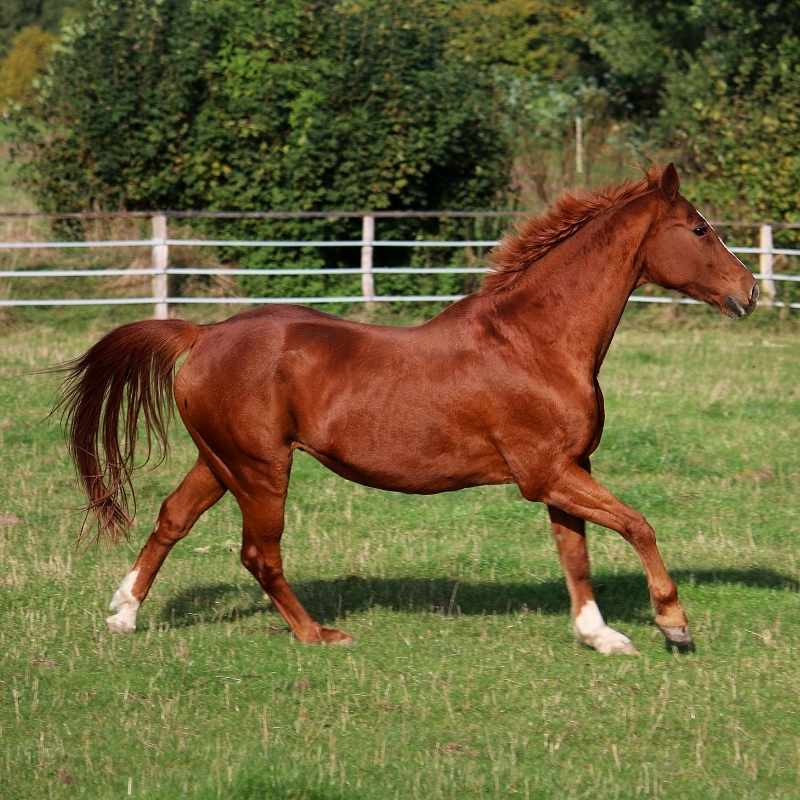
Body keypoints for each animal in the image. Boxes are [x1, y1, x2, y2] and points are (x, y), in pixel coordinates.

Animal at [57, 163, 758, 655]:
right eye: (699, 228)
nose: (750, 291)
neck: (535, 343)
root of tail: (202, 336)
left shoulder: (568, 469)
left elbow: (575, 553)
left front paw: (600, 636)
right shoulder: (545, 474)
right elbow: (638, 525)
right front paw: (674, 625)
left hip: (221, 461)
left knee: (173, 519)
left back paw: (124, 614)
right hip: (260, 469)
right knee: (259, 553)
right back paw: (318, 635)